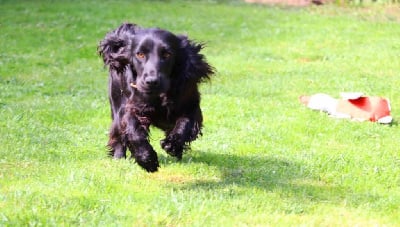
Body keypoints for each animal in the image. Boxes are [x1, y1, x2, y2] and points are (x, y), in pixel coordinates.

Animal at [98, 23, 214, 172]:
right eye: (140, 54)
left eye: (167, 54)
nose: (152, 81)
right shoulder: (133, 108)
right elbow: (134, 132)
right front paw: (147, 159)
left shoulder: (191, 105)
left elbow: (185, 123)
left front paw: (173, 144)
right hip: (117, 102)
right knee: (117, 132)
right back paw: (119, 157)